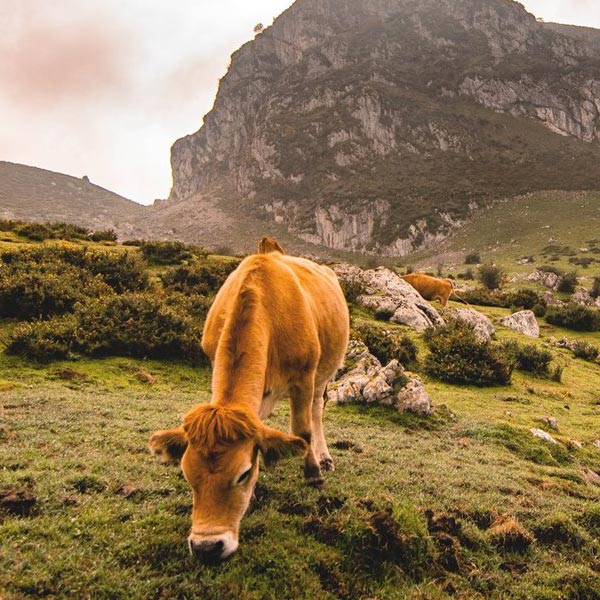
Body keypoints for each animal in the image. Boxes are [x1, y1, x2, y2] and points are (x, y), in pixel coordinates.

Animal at [147, 237, 350, 560]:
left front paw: (313, 473)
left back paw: (324, 457)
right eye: (187, 475)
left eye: (242, 474)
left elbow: (302, 429)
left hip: (325, 371)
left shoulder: (304, 377)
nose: (207, 547)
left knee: (317, 410)